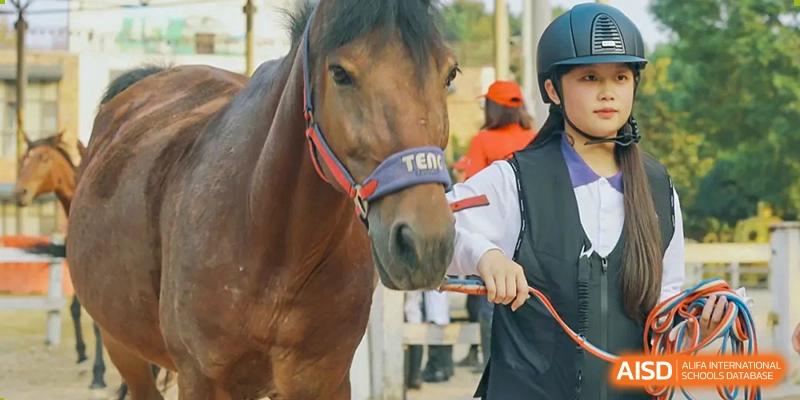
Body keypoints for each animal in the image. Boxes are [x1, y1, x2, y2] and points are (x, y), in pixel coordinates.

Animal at [66, 1, 458, 399]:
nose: (424, 243)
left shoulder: (325, 381)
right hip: (121, 347)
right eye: (340, 73)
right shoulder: (200, 379)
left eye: (450, 73)